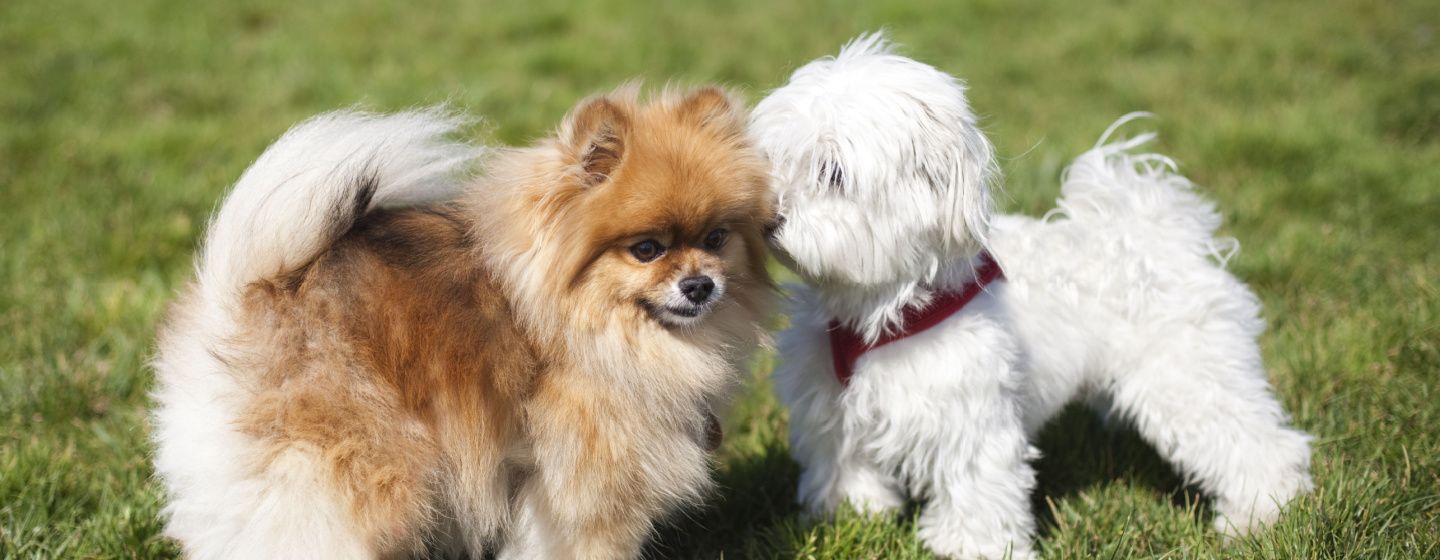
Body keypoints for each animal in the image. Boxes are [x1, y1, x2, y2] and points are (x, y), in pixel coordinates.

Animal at [754, 34, 1319, 558]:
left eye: (833, 173)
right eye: (772, 161)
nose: (767, 219)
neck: (879, 308)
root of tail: (1157, 231)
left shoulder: (970, 418)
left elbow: (977, 491)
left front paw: (973, 548)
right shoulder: (831, 410)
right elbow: (844, 468)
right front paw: (849, 516)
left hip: (1189, 379)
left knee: (1259, 445)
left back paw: (1259, 515)